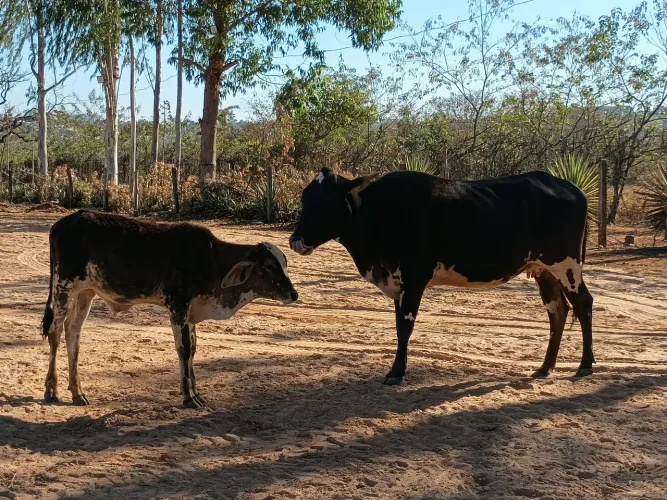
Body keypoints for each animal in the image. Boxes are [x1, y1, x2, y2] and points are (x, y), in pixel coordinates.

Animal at [42, 209, 298, 408]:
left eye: (284, 263)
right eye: (268, 266)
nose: (293, 294)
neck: (211, 260)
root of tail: (62, 223)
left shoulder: (191, 312)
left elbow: (193, 348)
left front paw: (197, 393)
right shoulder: (178, 305)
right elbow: (183, 349)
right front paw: (188, 398)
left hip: (86, 292)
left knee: (73, 333)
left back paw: (78, 393)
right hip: (63, 287)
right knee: (55, 331)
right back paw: (52, 391)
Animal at [289, 167, 594, 385]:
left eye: (326, 202)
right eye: (305, 199)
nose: (295, 240)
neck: (379, 212)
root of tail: (568, 185)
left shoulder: (414, 279)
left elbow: (405, 327)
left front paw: (396, 372)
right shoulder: (398, 284)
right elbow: (398, 325)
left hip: (567, 265)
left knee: (583, 304)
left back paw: (585, 365)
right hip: (544, 269)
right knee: (558, 310)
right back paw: (545, 367)